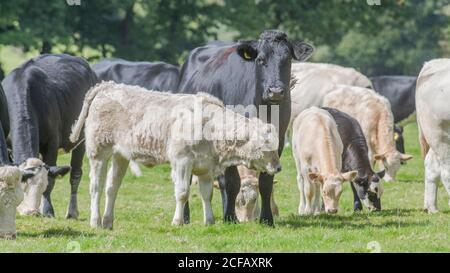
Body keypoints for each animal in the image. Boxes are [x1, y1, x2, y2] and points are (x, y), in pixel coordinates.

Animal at [2, 54, 97, 218]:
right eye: (22, 185)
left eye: (42, 186)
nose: (31, 212)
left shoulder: (51, 144)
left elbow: (52, 181)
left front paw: (47, 210)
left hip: (81, 139)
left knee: (76, 174)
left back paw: (72, 212)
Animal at [69, 82, 282, 228]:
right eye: (266, 146)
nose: (278, 167)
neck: (209, 125)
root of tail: (107, 86)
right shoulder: (182, 162)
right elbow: (182, 193)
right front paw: (178, 221)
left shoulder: (205, 167)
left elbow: (207, 194)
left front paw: (209, 221)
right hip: (98, 152)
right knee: (96, 187)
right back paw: (96, 221)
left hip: (120, 155)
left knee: (111, 188)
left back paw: (108, 221)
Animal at [178, 29, 314, 225]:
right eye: (260, 60)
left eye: (287, 59)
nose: (275, 91)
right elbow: (232, 181)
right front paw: (229, 217)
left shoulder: (278, 140)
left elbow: (266, 181)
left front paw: (266, 218)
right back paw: (186, 217)